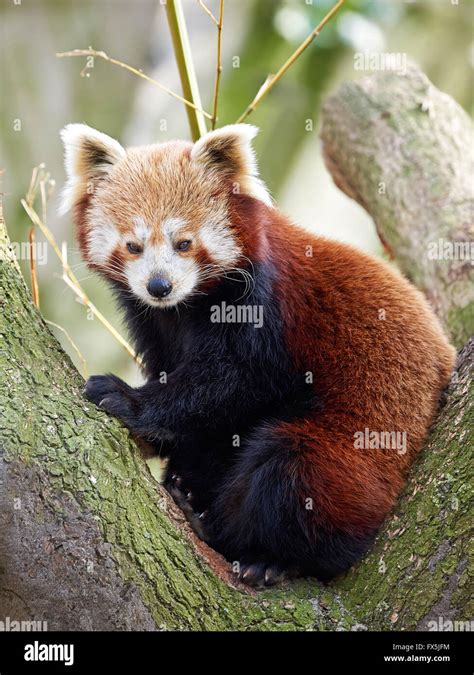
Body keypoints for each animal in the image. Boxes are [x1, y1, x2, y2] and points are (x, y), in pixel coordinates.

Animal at [59, 121, 456, 588]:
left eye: (184, 243)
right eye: (133, 245)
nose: (159, 286)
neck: (185, 308)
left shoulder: (265, 305)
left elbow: (232, 383)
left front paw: (126, 399)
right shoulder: (154, 324)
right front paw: (163, 446)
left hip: (358, 455)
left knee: (290, 466)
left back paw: (263, 554)